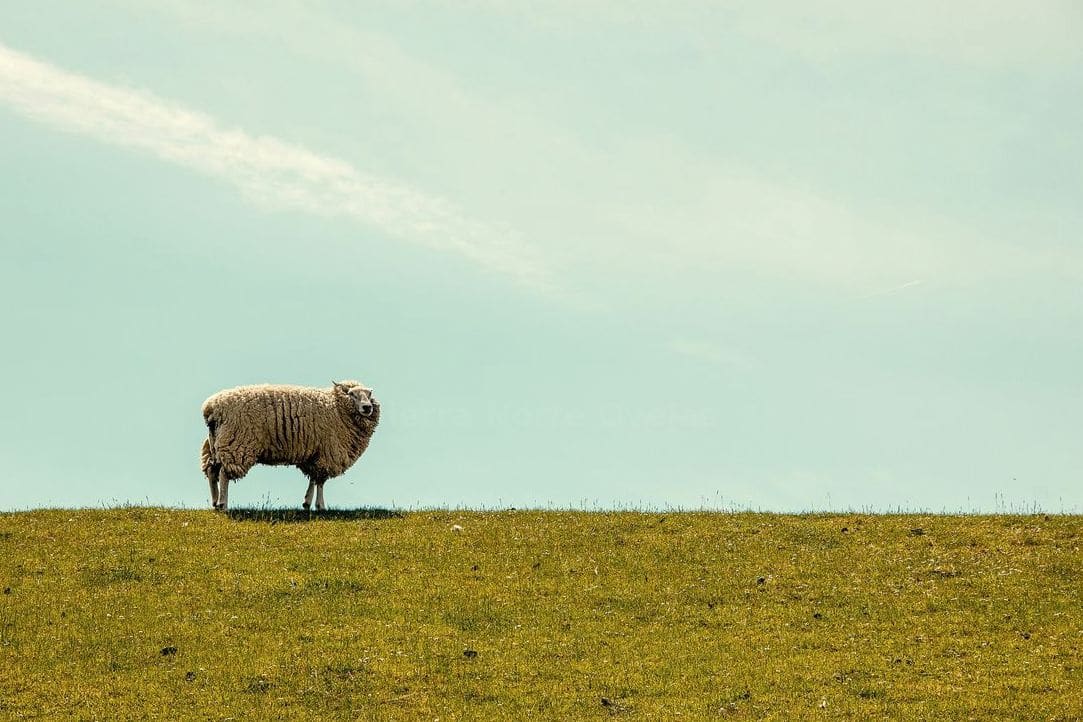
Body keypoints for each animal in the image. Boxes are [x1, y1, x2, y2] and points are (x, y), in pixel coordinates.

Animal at [200, 380, 380, 511]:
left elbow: (313, 478)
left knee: (212, 470)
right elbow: (320, 481)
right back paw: (223, 504)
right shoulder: (327, 453)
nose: (367, 407)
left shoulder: (313, 454)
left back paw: (215, 502)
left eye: (369, 394)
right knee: (224, 473)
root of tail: (211, 408)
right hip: (236, 444)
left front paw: (307, 503)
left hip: (216, 443)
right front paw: (321, 506)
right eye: (352, 394)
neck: (336, 407)